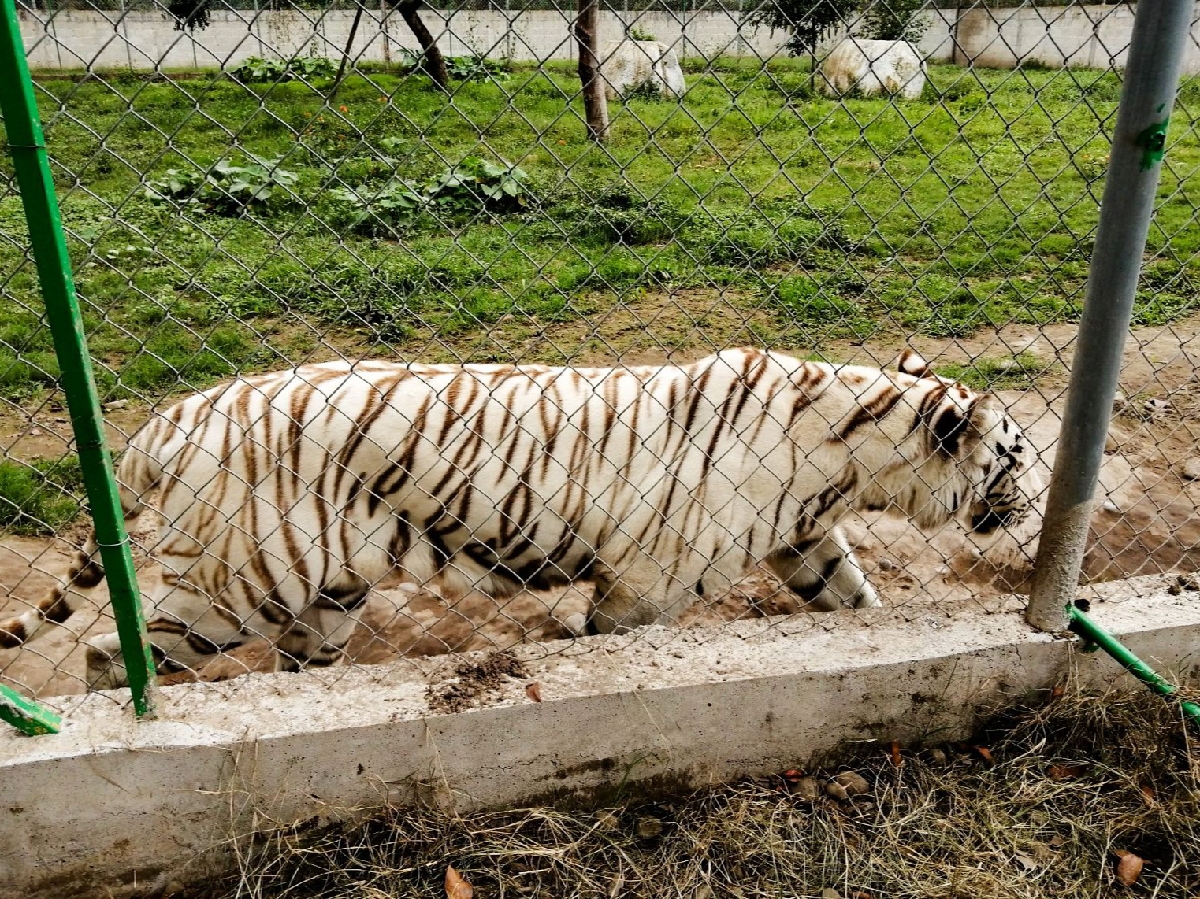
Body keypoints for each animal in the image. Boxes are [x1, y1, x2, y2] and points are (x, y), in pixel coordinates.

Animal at [0, 348, 1040, 690]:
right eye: (1019, 454)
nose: (1035, 501)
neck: (852, 455)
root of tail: (168, 419)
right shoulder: (646, 583)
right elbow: (611, 639)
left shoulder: (805, 538)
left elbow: (856, 600)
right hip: (235, 584)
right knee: (111, 655)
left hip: (323, 595)